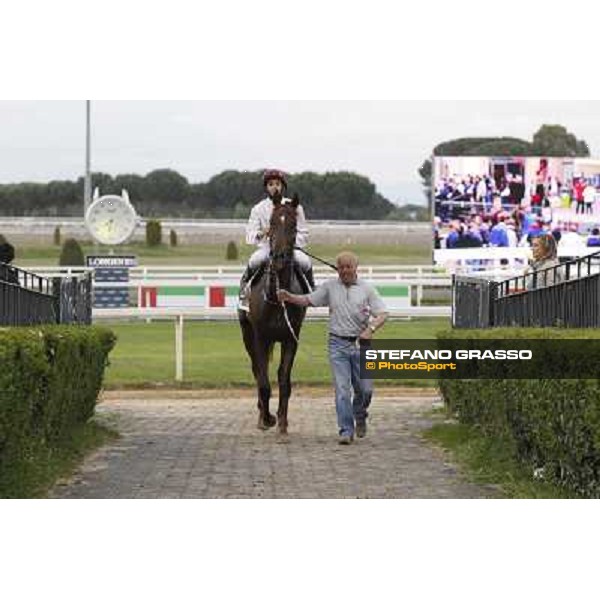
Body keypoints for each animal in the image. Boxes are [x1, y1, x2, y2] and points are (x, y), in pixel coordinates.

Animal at [237, 197, 308, 436]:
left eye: (294, 225)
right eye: (272, 224)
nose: (279, 257)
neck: (277, 297)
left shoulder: (290, 338)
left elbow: (284, 380)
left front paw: (282, 422)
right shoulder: (260, 337)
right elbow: (264, 381)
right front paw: (267, 418)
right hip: (247, 335)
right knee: (257, 371)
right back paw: (262, 414)